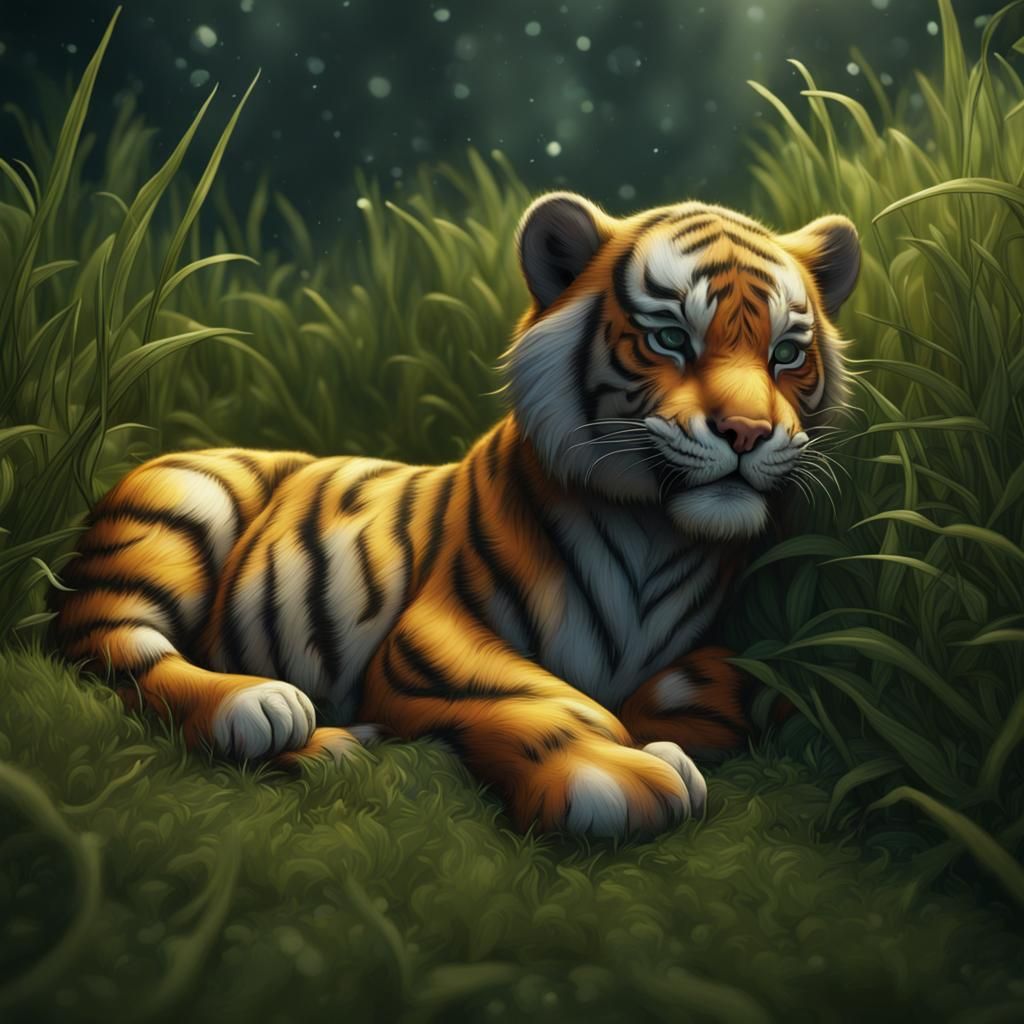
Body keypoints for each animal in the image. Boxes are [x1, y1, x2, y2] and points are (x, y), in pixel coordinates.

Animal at [53, 192, 859, 839]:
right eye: (670, 339)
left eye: (787, 353)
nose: (747, 432)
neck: (661, 537)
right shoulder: (432, 637)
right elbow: (543, 696)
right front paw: (627, 774)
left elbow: (738, 681)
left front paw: (672, 717)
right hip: (185, 505)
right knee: (108, 645)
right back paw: (265, 707)